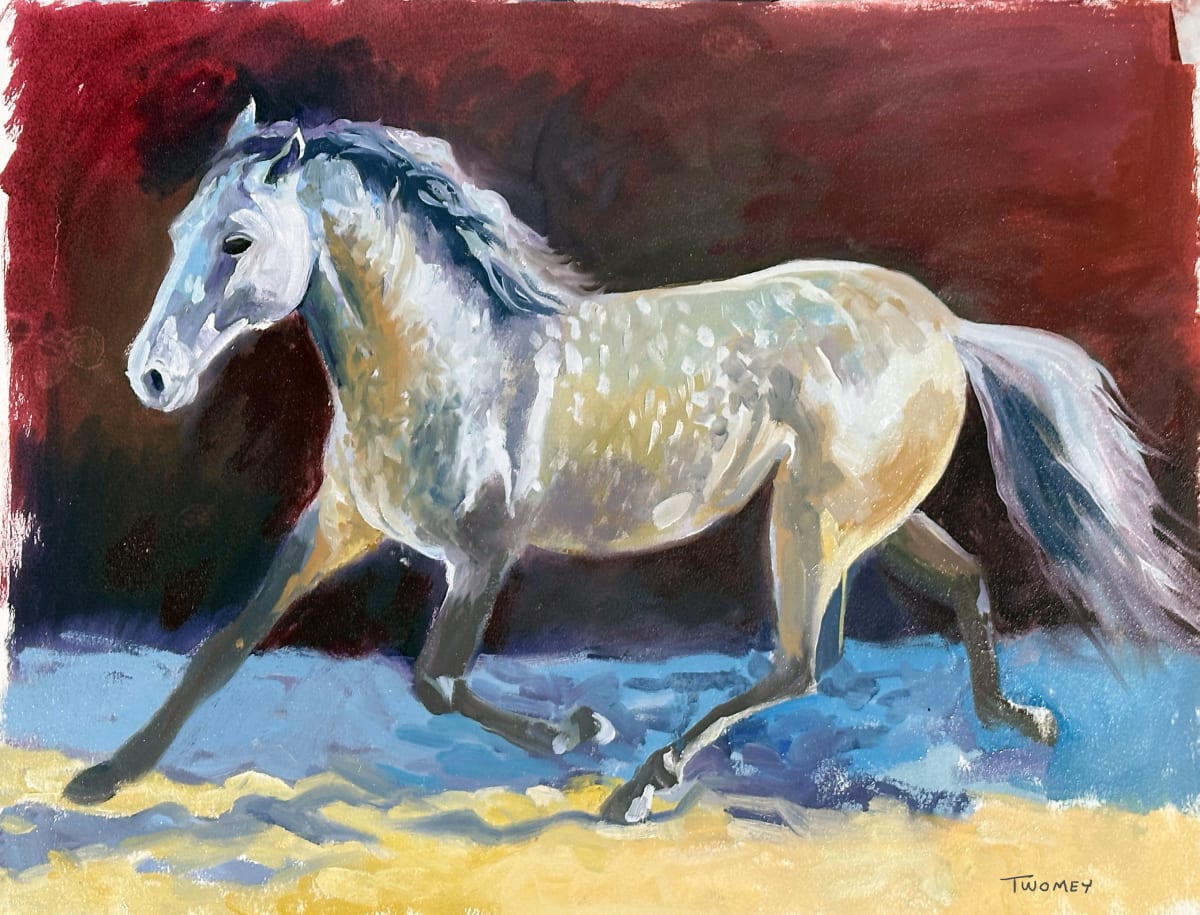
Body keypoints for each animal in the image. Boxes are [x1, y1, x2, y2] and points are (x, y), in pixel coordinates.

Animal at [64, 101, 1200, 823]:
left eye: (238, 243)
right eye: (183, 228)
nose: (151, 377)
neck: (444, 362)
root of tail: (947, 324)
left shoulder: (482, 555)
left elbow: (435, 680)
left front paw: (576, 732)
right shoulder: (335, 525)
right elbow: (225, 646)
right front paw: (106, 777)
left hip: (815, 518)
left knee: (804, 658)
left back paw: (642, 784)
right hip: (868, 517)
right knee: (953, 587)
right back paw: (1023, 719)